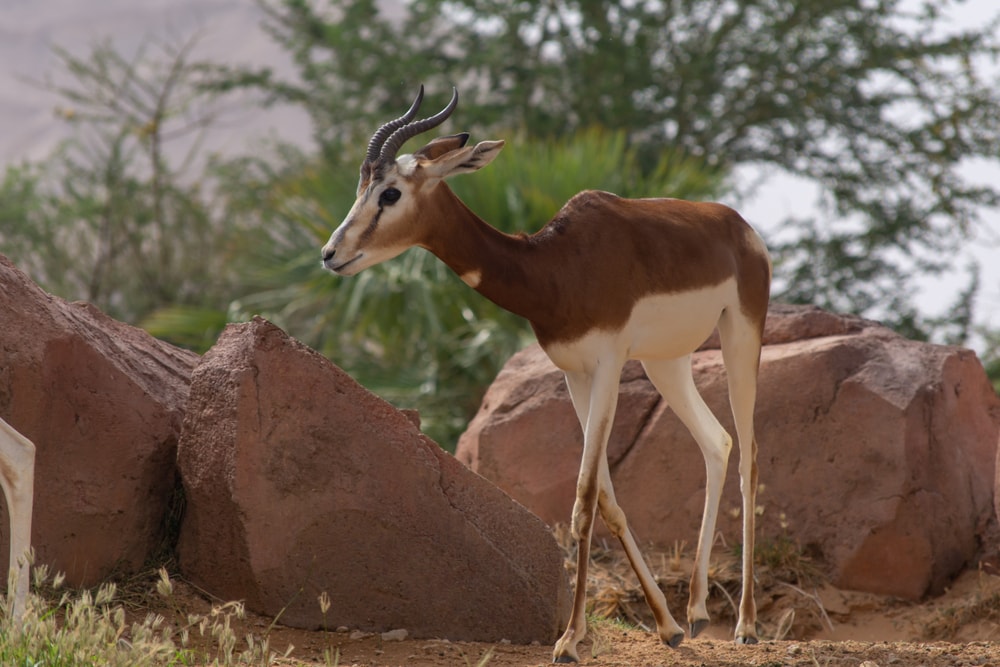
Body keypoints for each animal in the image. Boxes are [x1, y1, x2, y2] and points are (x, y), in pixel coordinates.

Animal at [321, 87, 771, 663]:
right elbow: (606, 499)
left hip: (741, 337)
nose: (331, 254)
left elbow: (582, 498)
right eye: (361, 187)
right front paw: (663, 627)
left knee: (749, 456)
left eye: (390, 192)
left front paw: (568, 641)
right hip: (664, 362)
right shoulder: (576, 374)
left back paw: (746, 625)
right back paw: (693, 613)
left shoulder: (607, 366)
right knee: (717, 442)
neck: (555, 266)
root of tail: (739, 225)